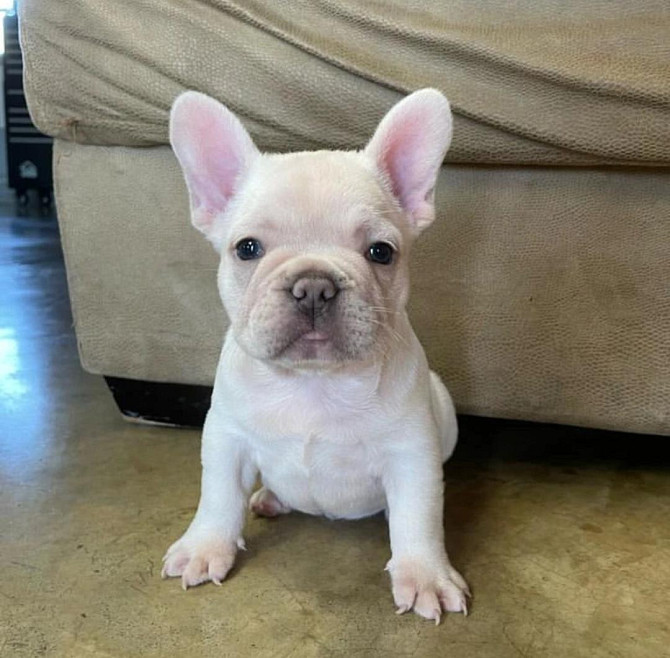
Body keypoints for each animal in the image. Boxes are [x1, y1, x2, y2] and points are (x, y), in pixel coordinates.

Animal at [160, 87, 470, 620]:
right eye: (247, 248)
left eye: (381, 252)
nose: (313, 286)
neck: (313, 380)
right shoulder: (227, 440)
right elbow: (217, 497)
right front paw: (206, 546)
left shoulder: (412, 455)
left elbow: (419, 517)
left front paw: (424, 574)